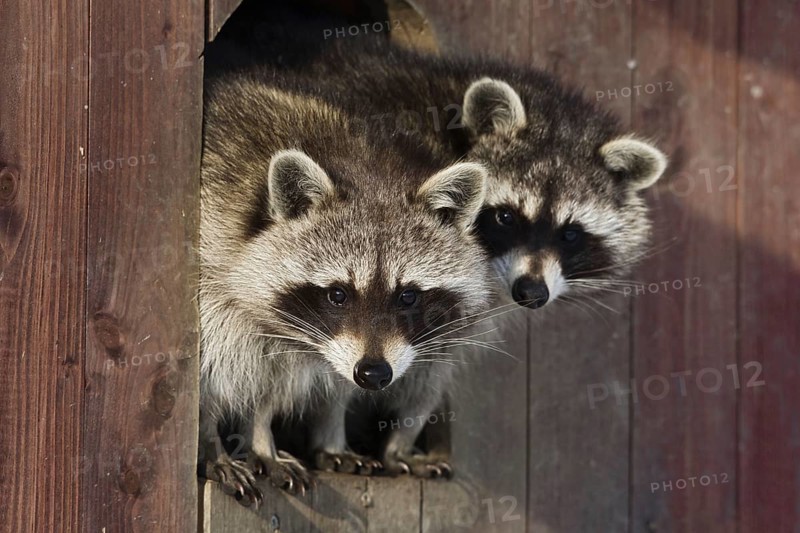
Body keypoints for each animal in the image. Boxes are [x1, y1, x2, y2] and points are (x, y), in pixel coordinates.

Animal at [199, 68, 491, 501]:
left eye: (408, 297)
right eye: (338, 294)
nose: (373, 373)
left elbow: (270, 386)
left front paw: (261, 436)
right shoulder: (210, 285)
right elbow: (207, 381)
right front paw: (210, 445)